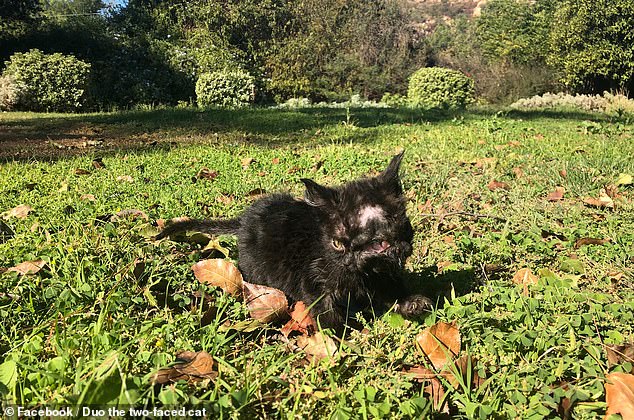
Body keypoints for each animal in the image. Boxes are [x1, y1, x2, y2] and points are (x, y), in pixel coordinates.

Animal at [157, 151, 432, 332]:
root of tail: (244, 219)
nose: (354, 257)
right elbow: (326, 312)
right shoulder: (313, 280)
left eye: (394, 229)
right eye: (337, 244)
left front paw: (411, 303)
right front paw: (347, 335)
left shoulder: (384, 273)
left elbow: (391, 288)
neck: (361, 276)